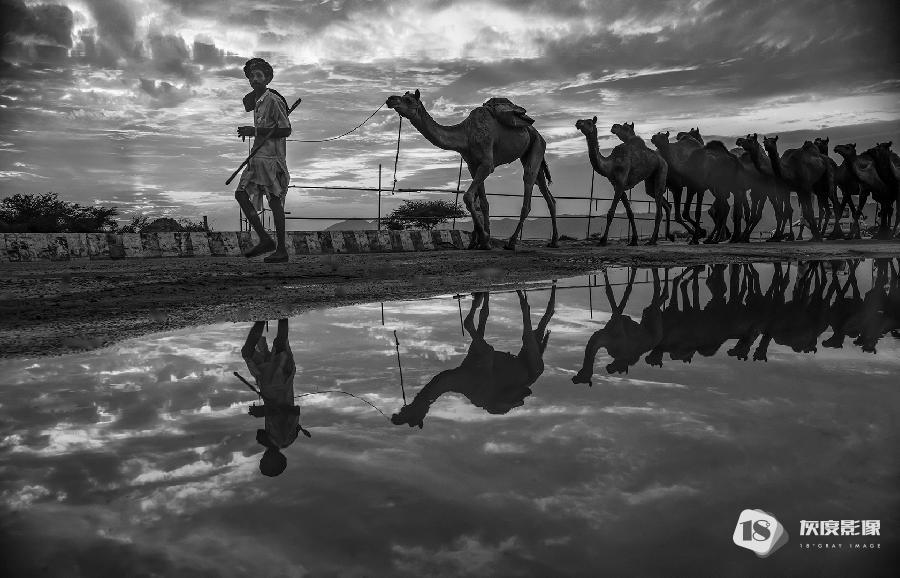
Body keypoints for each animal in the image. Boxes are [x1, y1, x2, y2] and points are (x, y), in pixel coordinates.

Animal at [385, 90, 558, 250]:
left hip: (537, 146)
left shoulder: (487, 164)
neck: (466, 135)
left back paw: (512, 242)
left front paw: (484, 240)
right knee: (546, 192)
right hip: (532, 152)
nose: (390, 99)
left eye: (408, 99)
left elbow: (468, 197)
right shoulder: (472, 165)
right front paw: (478, 242)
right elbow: (483, 203)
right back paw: (554, 241)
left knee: (528, 184)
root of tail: (538, 133)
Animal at [391, 284, 556, 428]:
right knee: (535, 331)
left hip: (532, 360)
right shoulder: (475, 352)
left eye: (411, 419)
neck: (462, 378)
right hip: (527, 358)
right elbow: (482, 311)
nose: (394, 418)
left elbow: (469, 321)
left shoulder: (487, 354)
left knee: (527, 318)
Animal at [575, 116, 672, 245]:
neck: (611, 165)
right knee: (664, 202)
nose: (578, 122)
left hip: (661, 171)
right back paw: (663, 237)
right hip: (650, 181)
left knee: (659, 208)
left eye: (589, 122)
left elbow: (611, 213)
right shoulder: (617, 185)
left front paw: (603, 240)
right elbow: (630, 213)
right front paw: (634, 240)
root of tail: (663, 160)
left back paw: (652, 240)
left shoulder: (621, 183)